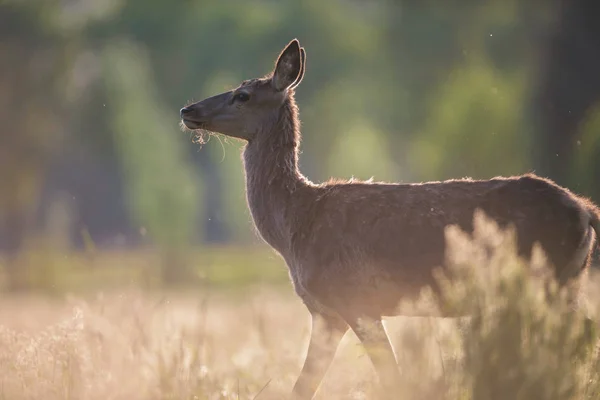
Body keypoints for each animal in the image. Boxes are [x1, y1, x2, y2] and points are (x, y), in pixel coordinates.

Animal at [179, 38, 600, 400]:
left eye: (243, 95)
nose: (188, 110)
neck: (295, 226)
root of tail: (585, 210)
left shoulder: (357, 299)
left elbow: (392, 378)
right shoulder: (326, 313)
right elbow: (303, 387)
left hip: (550, 281)